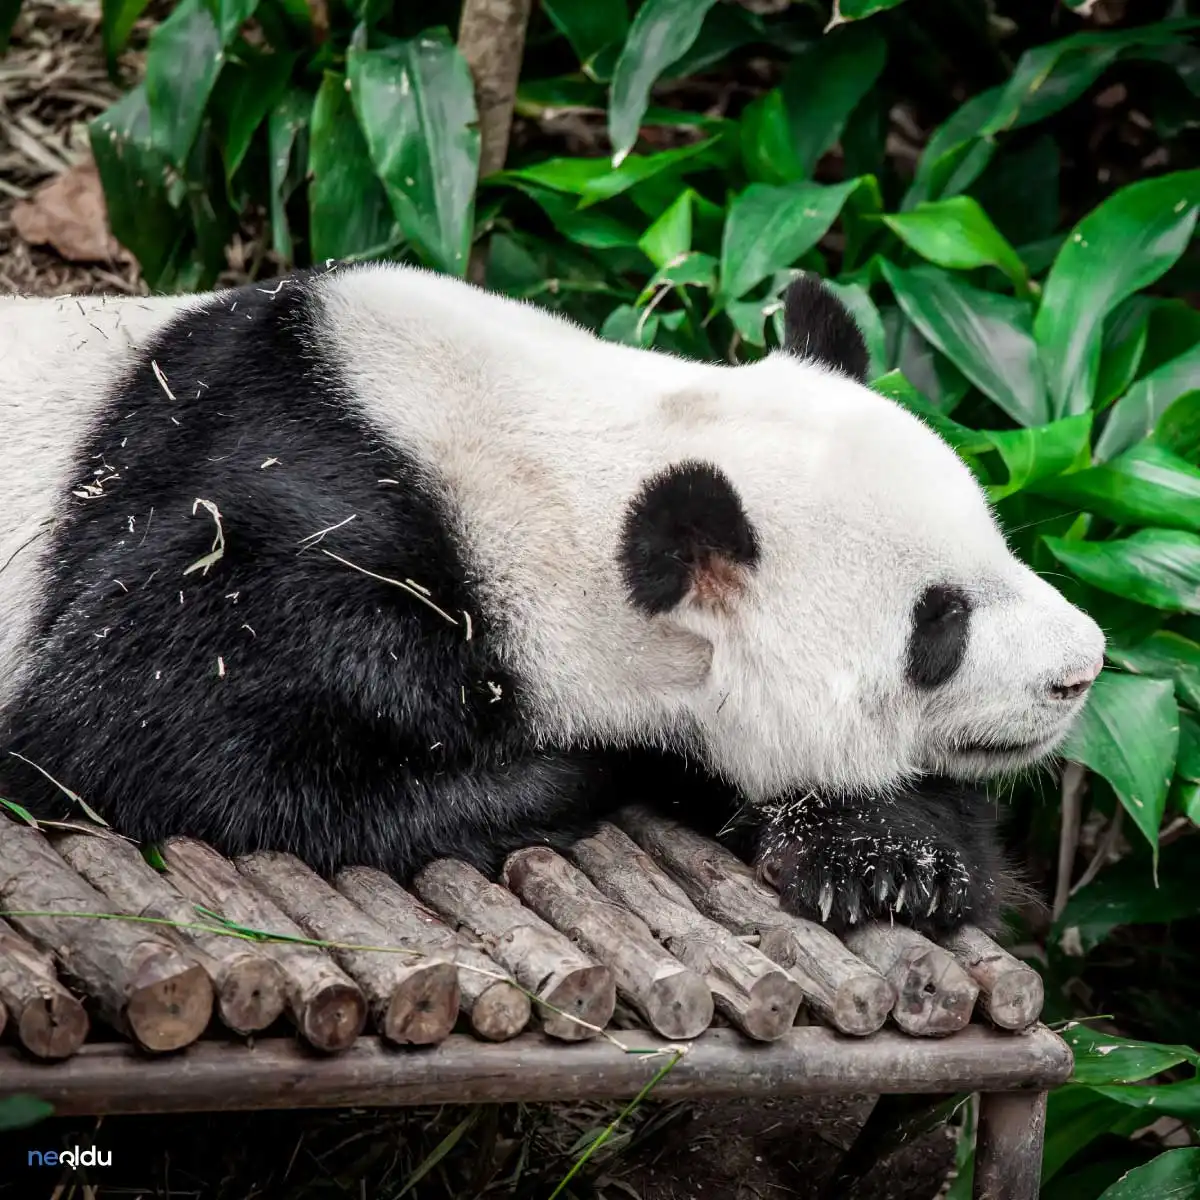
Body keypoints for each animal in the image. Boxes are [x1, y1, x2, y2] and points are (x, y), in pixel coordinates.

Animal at [0, 265, 1104, 936]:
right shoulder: (286, 540)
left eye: (999, 540)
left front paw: (889, 856)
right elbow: (122, 742)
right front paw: (592, 769)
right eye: (939, 621)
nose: (1082, 668)